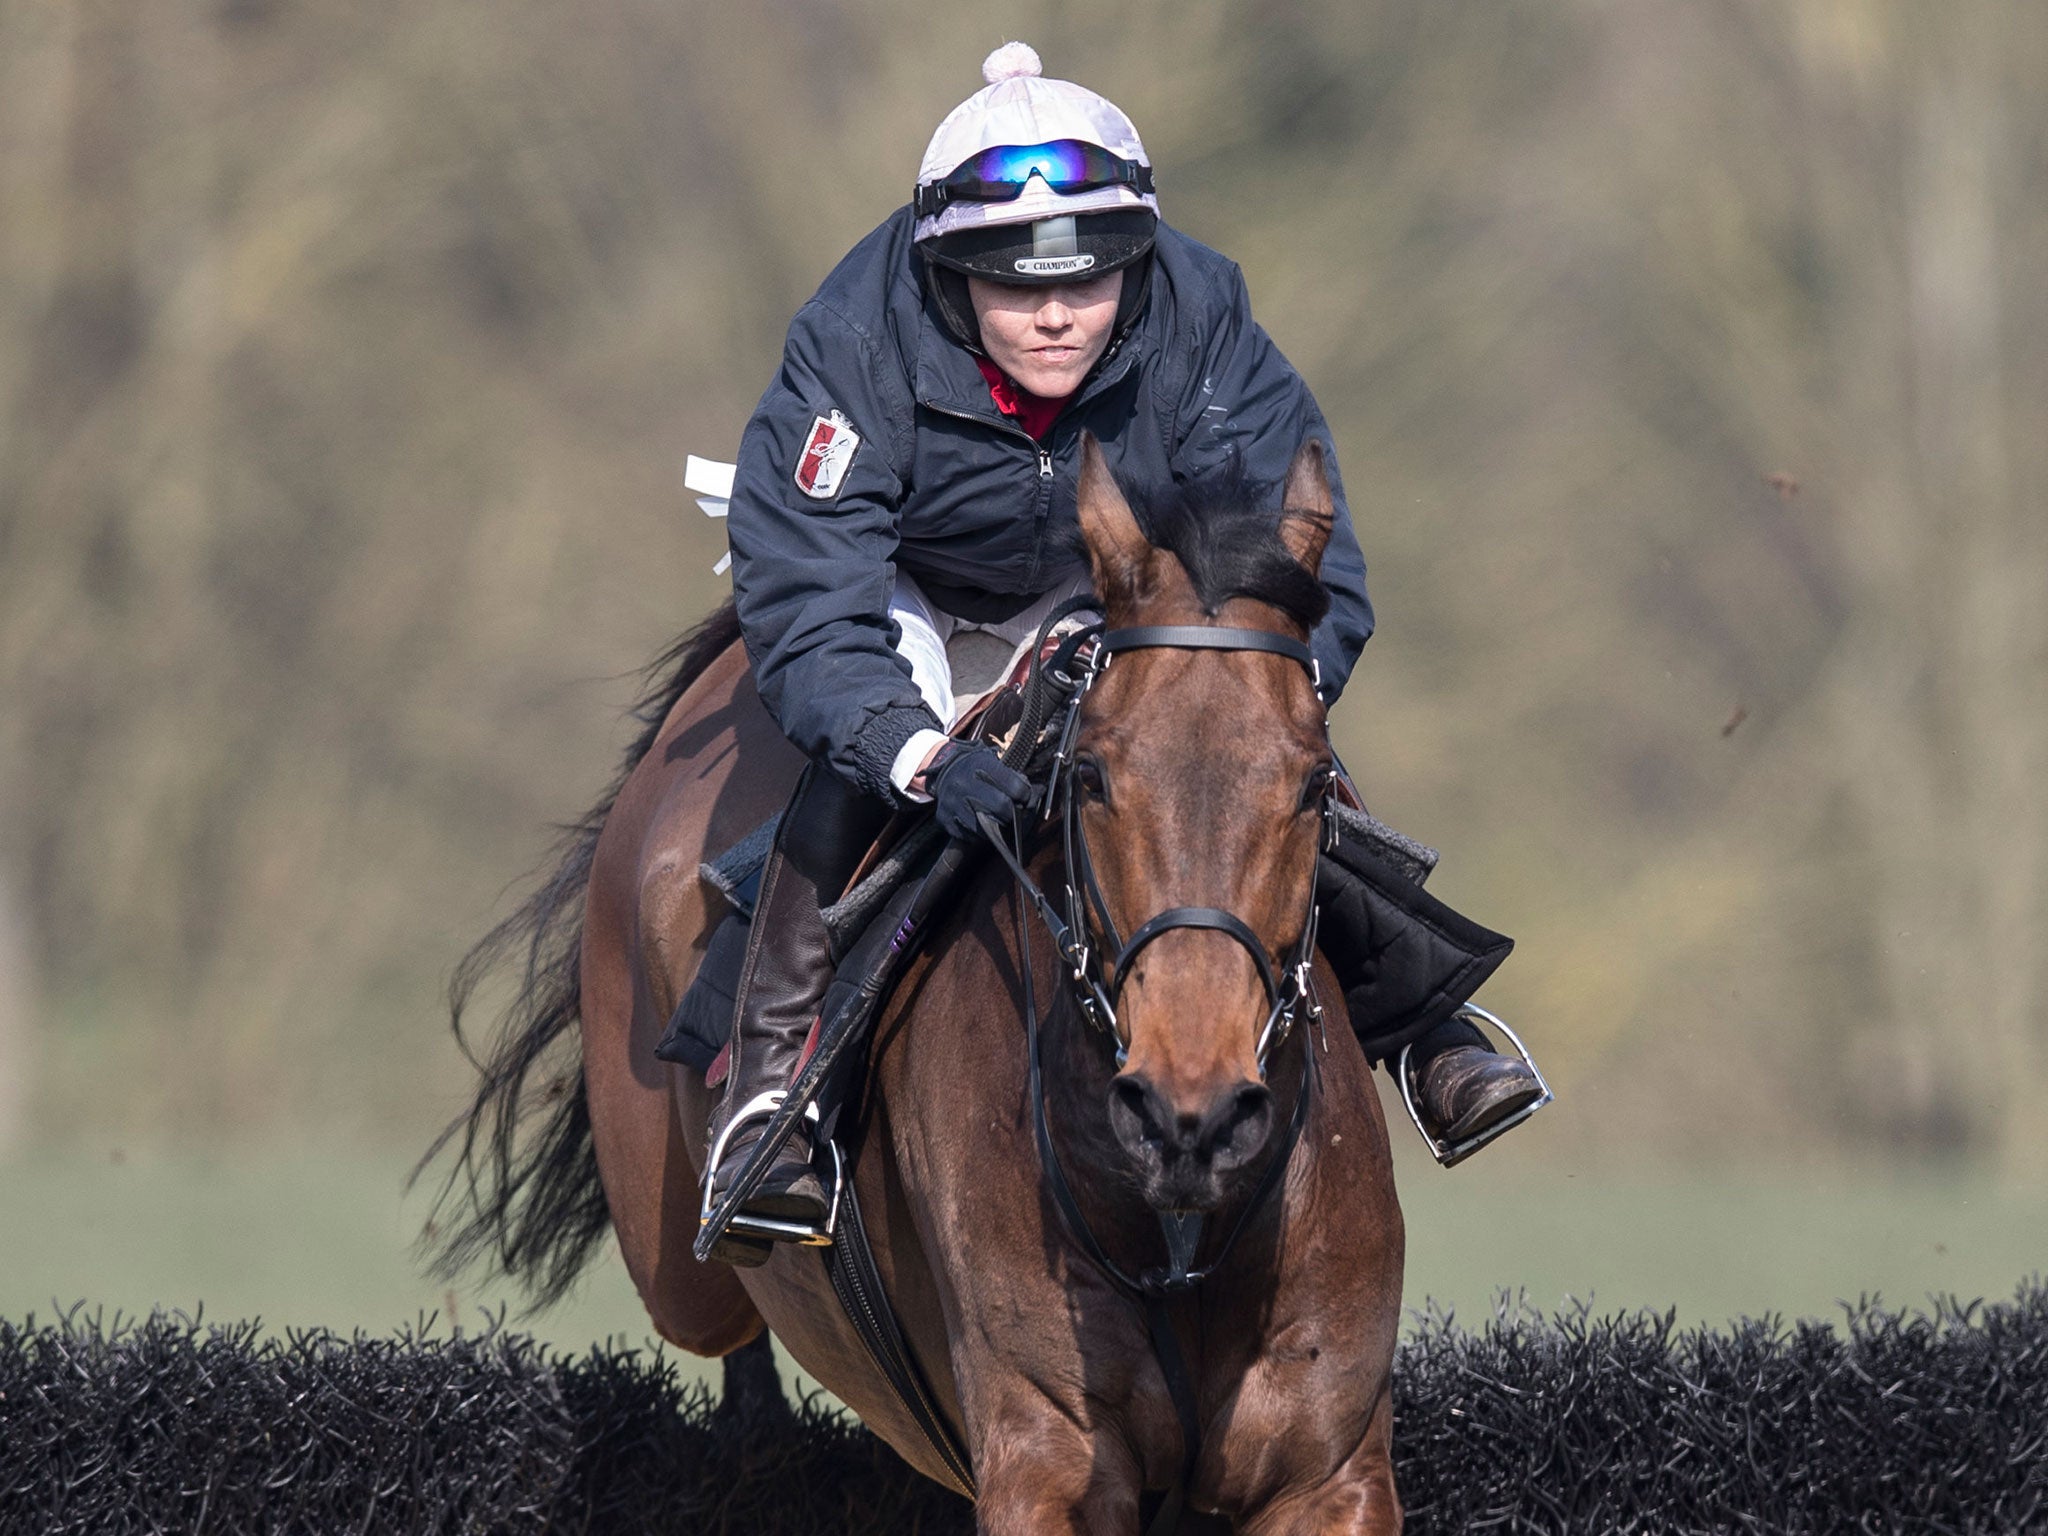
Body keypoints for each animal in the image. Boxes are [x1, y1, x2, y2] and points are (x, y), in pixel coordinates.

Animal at [421, 436, 1400, 1536]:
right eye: (1092, 774)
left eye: (1314, 783)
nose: (1188, 1114)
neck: (1176, 1226)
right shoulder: (1044, 1455)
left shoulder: (1329, 1471)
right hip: (670, 1248)